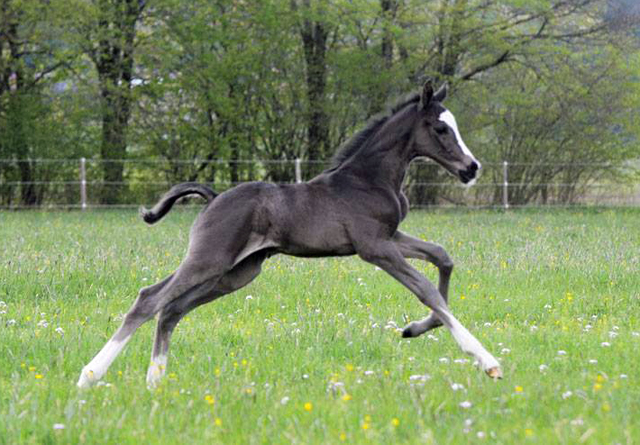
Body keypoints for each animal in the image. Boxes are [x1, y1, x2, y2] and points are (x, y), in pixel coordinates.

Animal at [77, 80, 502, 388]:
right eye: (440, 128)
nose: (471, 168)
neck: (369, 178)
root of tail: (213, 198)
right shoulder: (374, 247)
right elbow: (427, 289)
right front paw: (486, 361)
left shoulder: (391, 237)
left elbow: (442, 257)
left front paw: (414, 329)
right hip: (209, 259)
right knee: (149, 300)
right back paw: (90, 375)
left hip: (236, 272)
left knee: (171, 310)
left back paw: (155, 383)